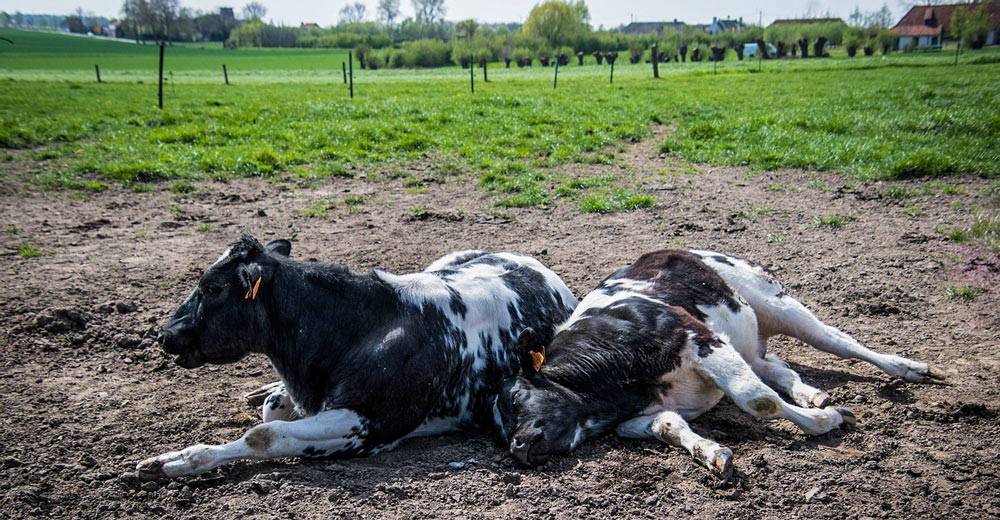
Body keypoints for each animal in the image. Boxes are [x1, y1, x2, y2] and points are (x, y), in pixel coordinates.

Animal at [136, 234, 578, 479]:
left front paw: (174, 462)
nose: (164, 334)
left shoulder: (370, 426)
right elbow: (272, 410)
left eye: (212, 288)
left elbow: (266, 434)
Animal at [495, 249, 943, 477]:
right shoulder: (643, 411)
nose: (517, 447)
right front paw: (710, 452)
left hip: (773, 301)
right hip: (748, 343)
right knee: (775, 365)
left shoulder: (698, 339)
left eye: (516, 399)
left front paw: (826, 422)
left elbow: (757, 400)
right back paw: (811, 393)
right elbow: (669, 425)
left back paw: (908, 368)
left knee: (838, 340)